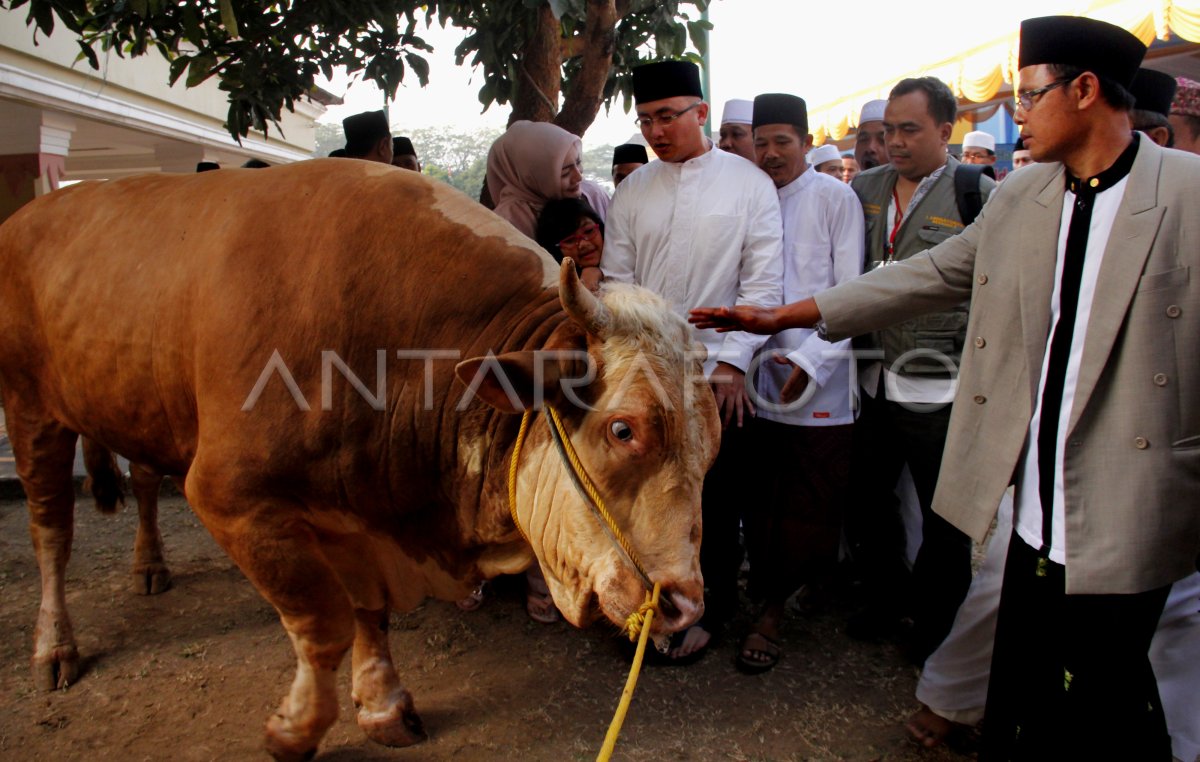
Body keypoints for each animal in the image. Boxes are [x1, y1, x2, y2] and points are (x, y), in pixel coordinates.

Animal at [0, 159, 715, 758]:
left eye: (712, 448)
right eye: (623, 430)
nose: (683, 608)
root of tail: (36, 211)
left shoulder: (362, 514)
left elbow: (368, 610)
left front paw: (381, 703)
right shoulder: (231, 498)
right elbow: (324, 621)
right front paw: (295, 729)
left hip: (137, 404)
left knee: (144, 482)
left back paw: (149, 566)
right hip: (31, 410)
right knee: (51, 533)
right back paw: (54, 646)